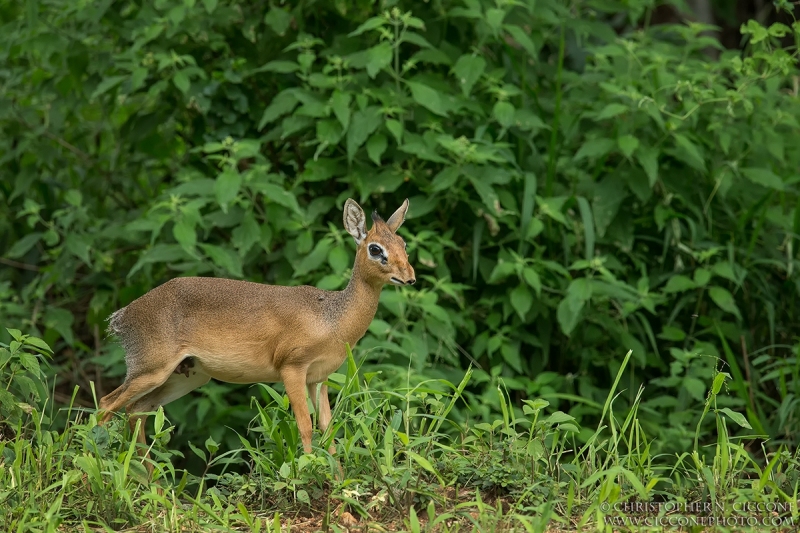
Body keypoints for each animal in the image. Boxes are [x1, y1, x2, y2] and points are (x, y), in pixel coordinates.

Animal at [98, 197, 418, 472]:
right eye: (375, 249)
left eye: (403, 243)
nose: (410, 277)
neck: (332, 319)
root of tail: (120, 317)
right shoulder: (292, 368)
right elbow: (305, 426)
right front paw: (308, 474)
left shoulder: (319, 378)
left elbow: (328, 428)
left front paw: (337, 481)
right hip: (151, 369)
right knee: (106, 405)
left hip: (186, 375)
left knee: (135, 410)